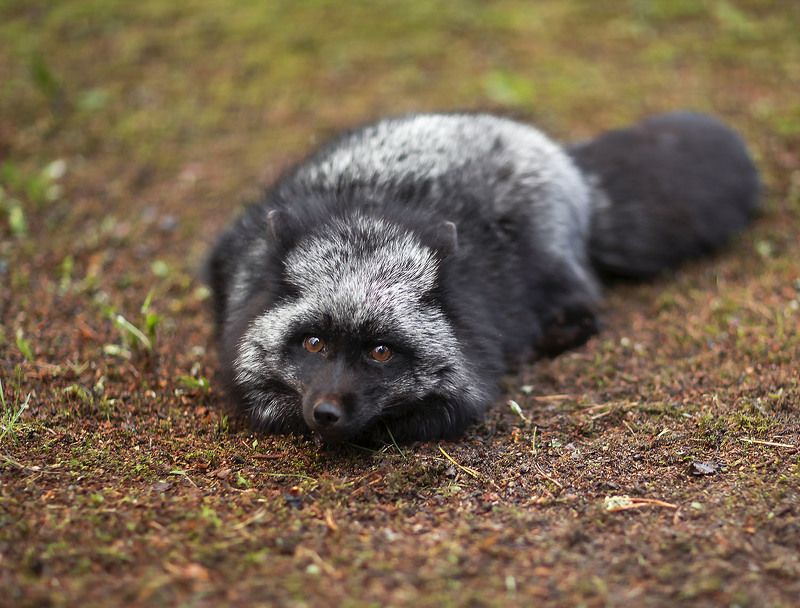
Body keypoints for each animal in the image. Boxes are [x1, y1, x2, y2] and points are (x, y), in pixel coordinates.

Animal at [205, 111, 760, 444]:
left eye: (381, 352)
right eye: (314, 343)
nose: (326, 413)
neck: (372, 212)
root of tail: (566, 161)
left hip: (553, 264)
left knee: (588, 307)